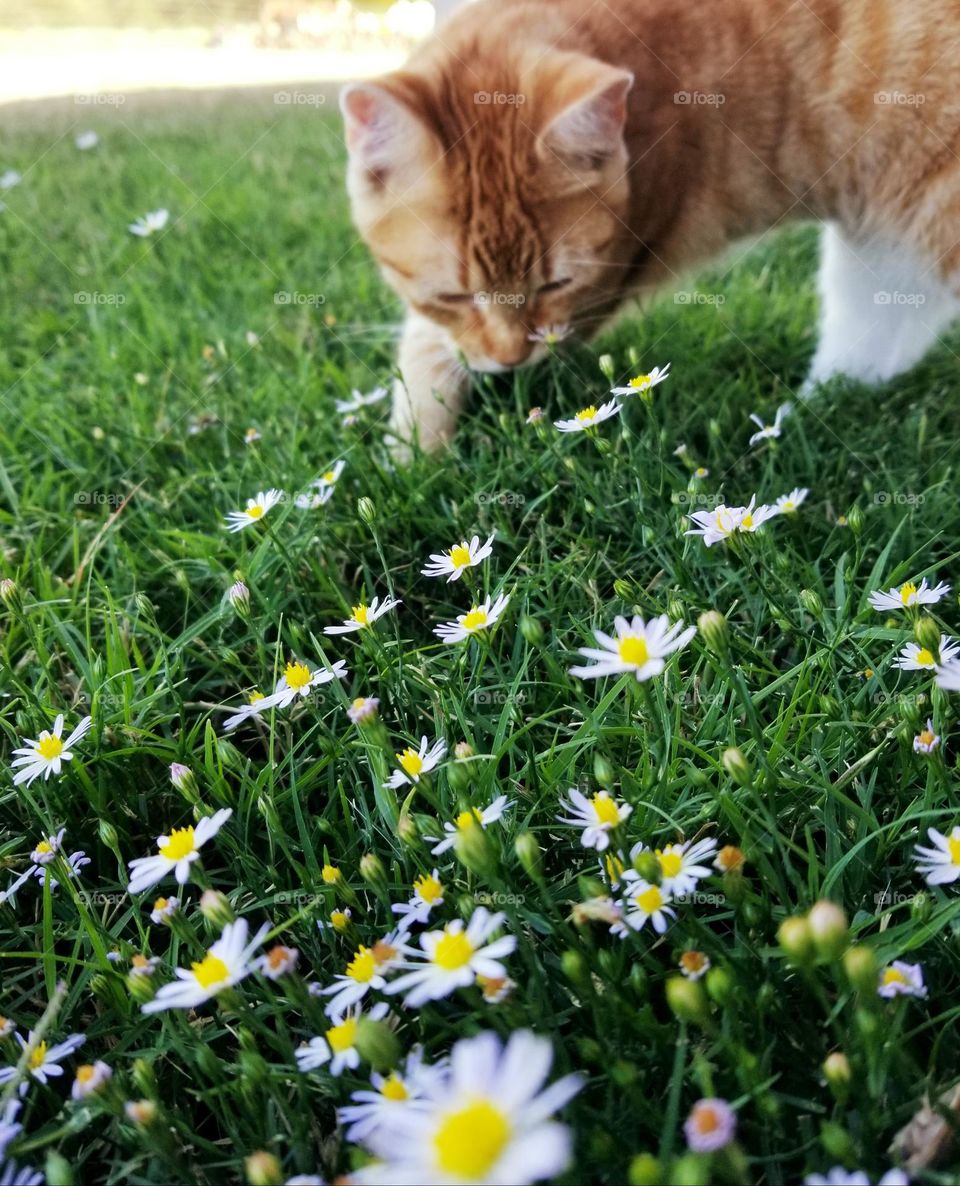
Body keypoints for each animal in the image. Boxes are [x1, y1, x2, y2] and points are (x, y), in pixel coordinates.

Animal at [341, 0, 954, 448]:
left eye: (557, 284)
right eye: (453, 294)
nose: (511, 361)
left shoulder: (609, 280)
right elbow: (429, 343)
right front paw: (413, 458)